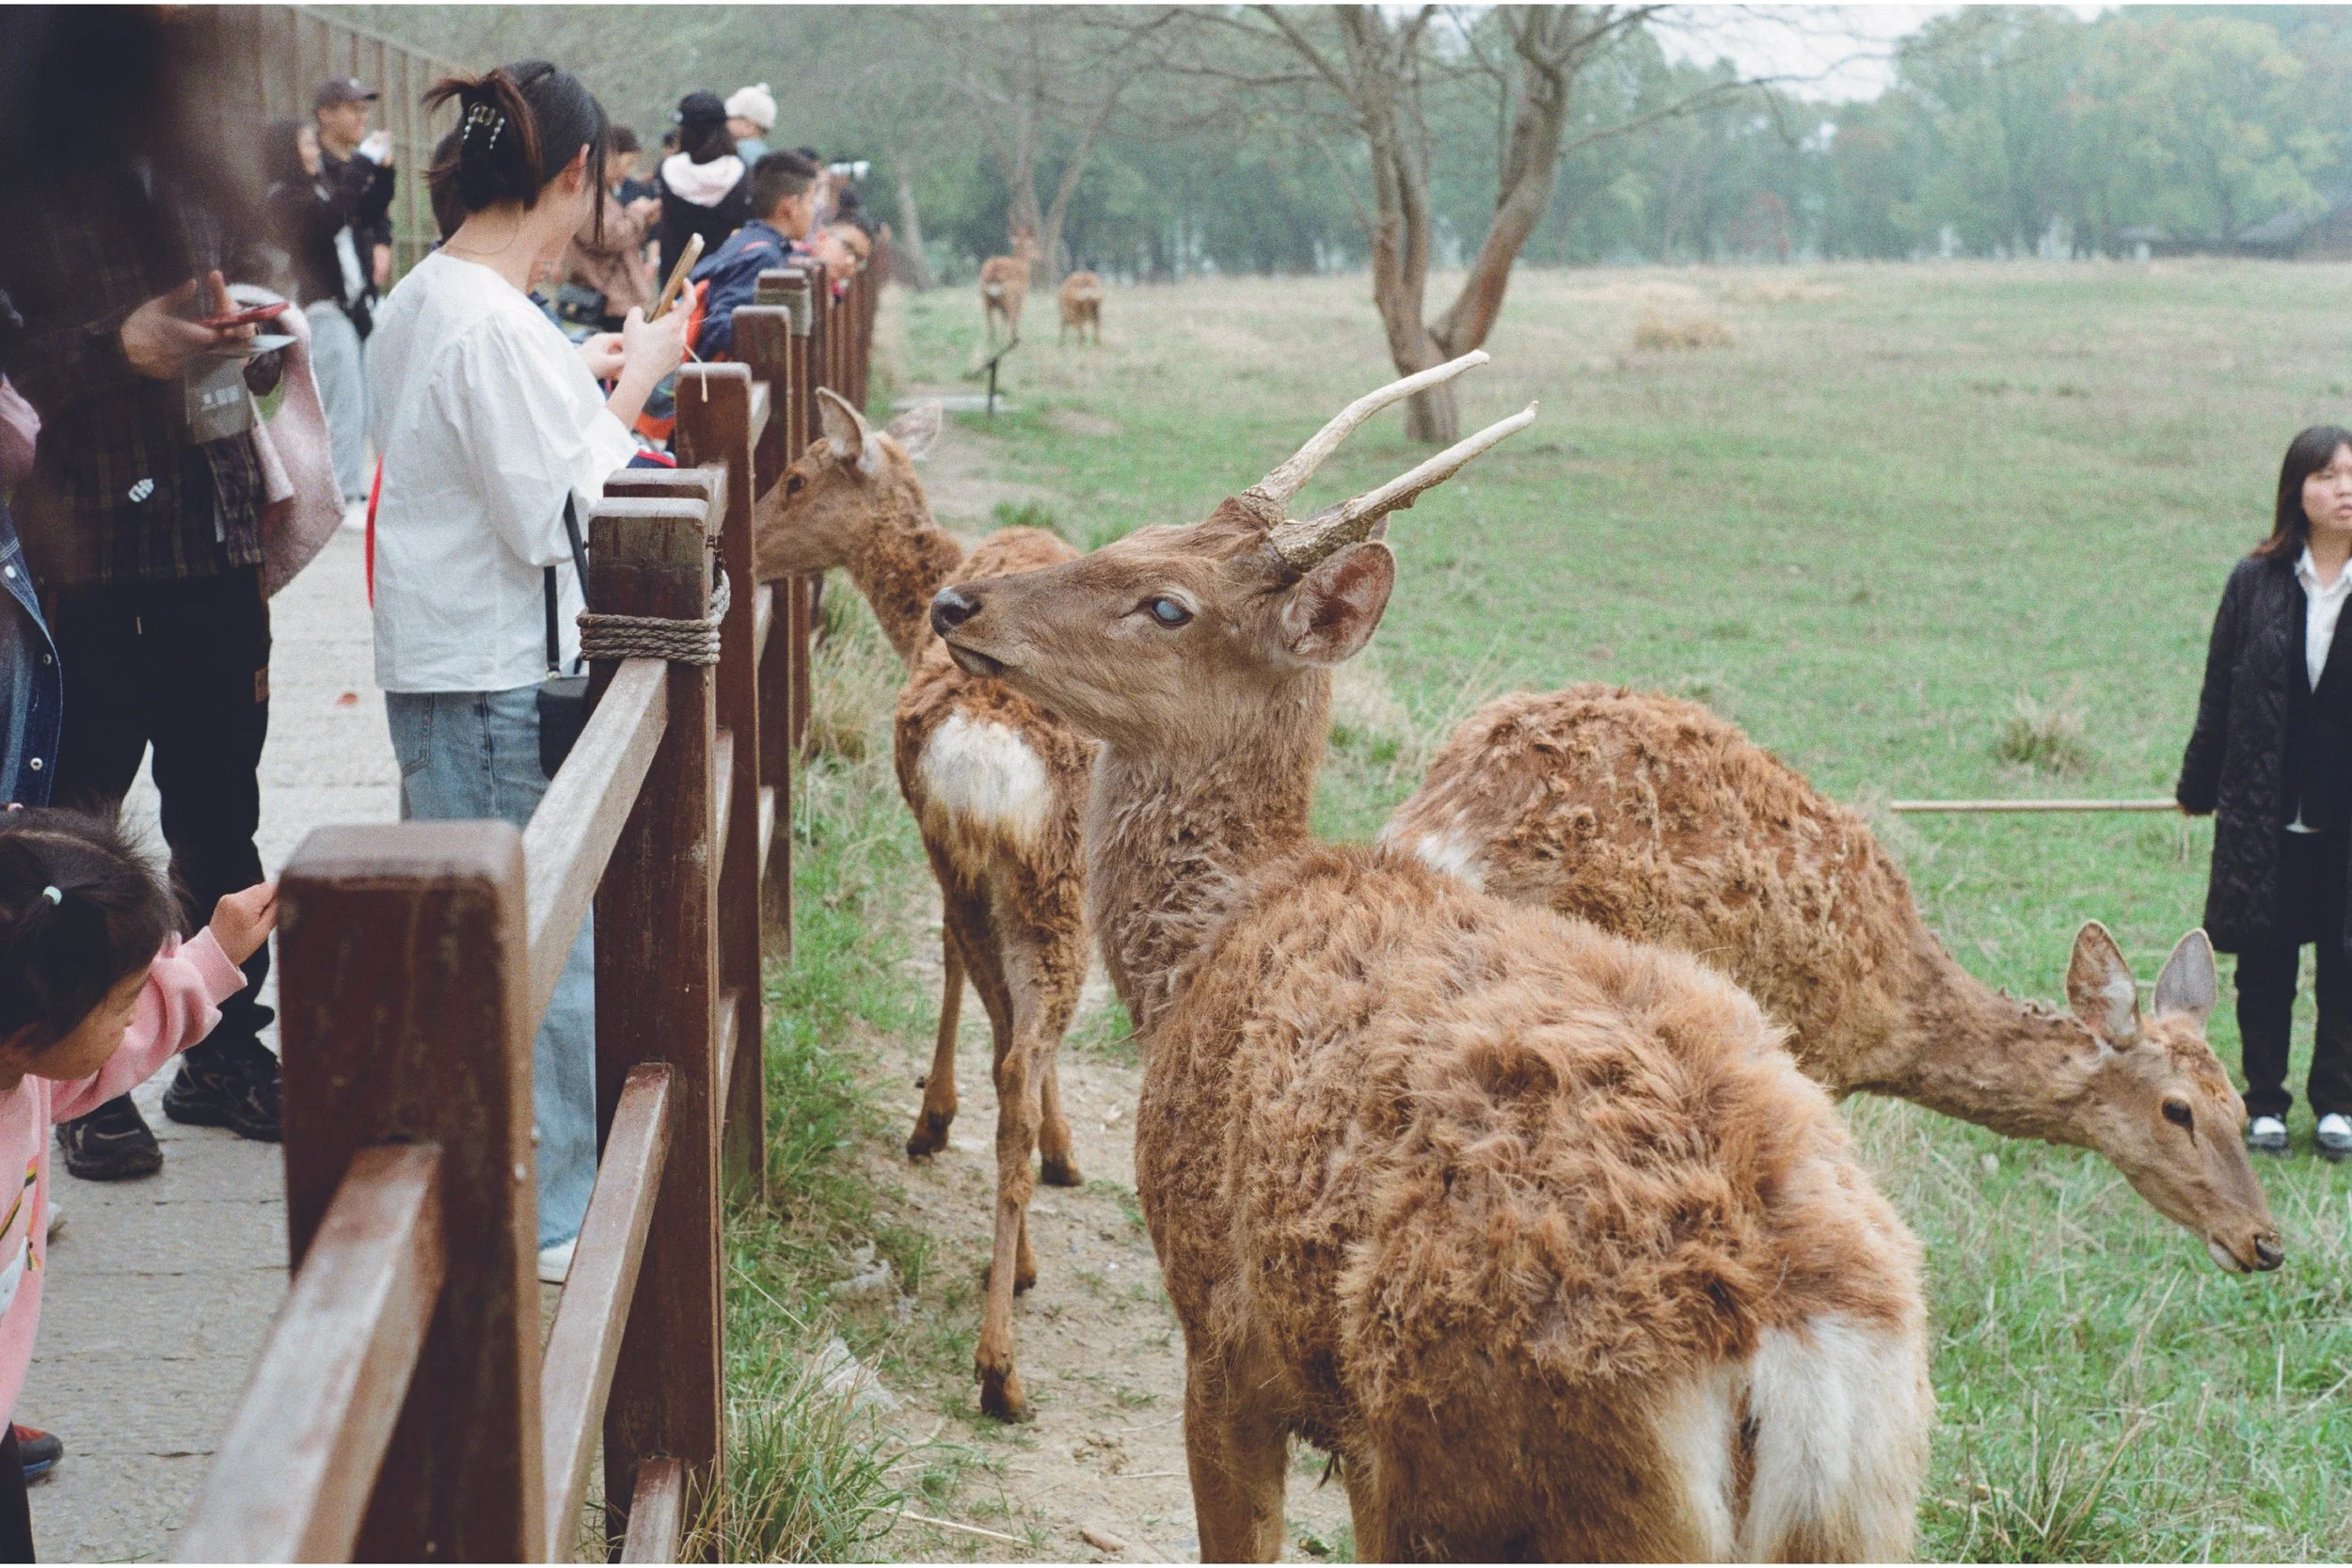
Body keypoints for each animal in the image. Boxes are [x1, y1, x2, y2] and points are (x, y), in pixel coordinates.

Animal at [754, 388, 1095, 1421]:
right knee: (1017, 1054)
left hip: (980, 865)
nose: (740, 546)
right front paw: (1038, 1143)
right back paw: (1002, 1352)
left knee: (1007, 1044)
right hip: (1042, 883)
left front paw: (939, 1118)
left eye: (793, 475)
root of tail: (983, 745)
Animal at [927, 353, 1933, 1559]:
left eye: (1166, 602)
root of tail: (1790, 1344)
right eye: (1137, 531)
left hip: (1502, 1475)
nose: (958, 602)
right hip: (1859, 1512)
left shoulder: (1227, 1337)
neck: (1200, 950)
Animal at [979, 226, 1042, 347]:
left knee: (990, 325)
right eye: (1032, 245)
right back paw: (1010, 343)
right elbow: (1016, 319)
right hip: (1008, 298)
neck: (1022, 263)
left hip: (986, 300)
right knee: (1011, 319)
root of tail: (993, 272)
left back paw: (992, 345)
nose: (1040, 255)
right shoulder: (1021, 297)